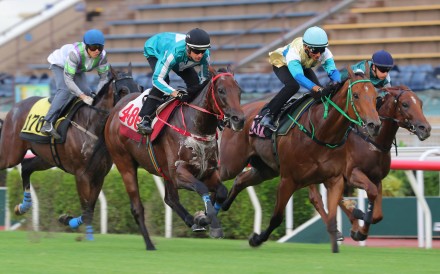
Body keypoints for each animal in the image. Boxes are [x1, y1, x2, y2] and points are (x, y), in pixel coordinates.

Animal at [0, 65, 141, 240]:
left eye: (140, 88)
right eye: (122, 90)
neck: (92, 125)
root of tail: (13, 108)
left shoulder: (98, 175)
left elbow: (89, 209)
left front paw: (67, 220)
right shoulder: (81, 174)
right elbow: (86, 209)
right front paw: (85, 234)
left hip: (46, 158)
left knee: (26, 168)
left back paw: (23, 206)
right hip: (10, 154)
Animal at [105, 67, 246, 250]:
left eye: (239, 91)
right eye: (221, 90)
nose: (239, 119)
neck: (197, 128)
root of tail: (116, 110)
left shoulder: (207, 171)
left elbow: (221, 191)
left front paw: (203, 217)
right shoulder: (179, 173)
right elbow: (201, 187)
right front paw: (212, 223)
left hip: (164, 171)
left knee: (170, 199)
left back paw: (192, 220)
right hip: (125, 164)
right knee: (137, 207)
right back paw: (149, 244)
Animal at [219, 67, 382, 253]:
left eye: (375, 96)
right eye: (356, 95)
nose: (374, 125)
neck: (321, 132)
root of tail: (237, 113)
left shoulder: (334, 179)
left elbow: (332, 216)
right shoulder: (288, 180)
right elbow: (277, 218)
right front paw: (256, 239)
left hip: (265, 170)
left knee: (240, 180)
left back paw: (221, 205)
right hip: (230, 164)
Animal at [308, 84, 432, 241]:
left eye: (421, 103)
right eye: (405, 104)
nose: (426, 128)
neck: (372, 141)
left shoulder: (376, 179)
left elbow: (377, 215)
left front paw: (359, 229)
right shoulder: (353, 174)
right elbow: (370, 194)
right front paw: (358, 217)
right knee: (316, 198)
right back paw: (338, 230)